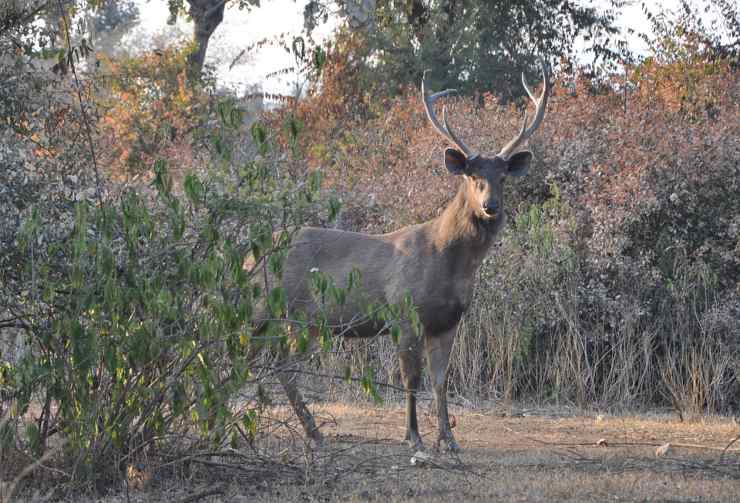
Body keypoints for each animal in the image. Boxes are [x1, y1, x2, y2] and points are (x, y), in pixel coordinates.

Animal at [268, 59, 548, 452]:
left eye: (503, 177)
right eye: (471, 175)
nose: (490, 206)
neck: (446, 262)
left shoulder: (449, 321)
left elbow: (441, 380)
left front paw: (448, 439)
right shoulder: (404, 311)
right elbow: (410, 381)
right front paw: (413, 437)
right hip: (289, 311)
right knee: (278, 363)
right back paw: (312, 431)